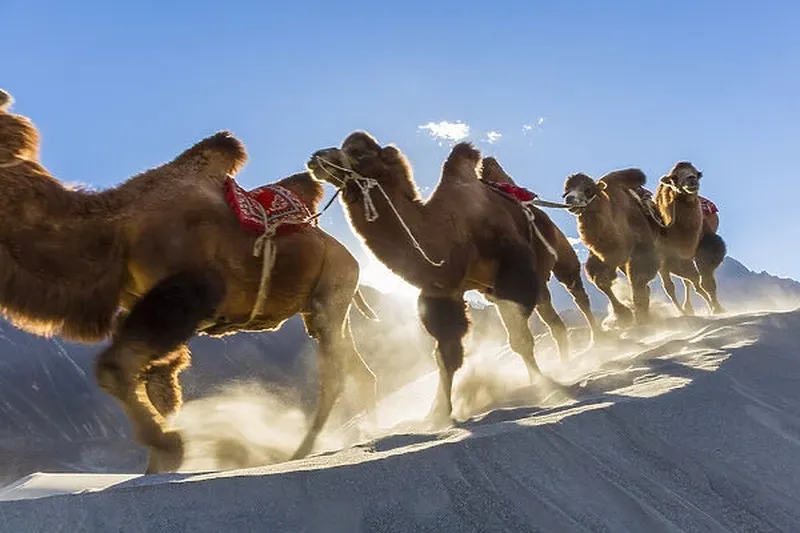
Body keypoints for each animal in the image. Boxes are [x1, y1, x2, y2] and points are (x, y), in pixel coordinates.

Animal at [0, 89, 378, 472]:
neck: (115, 231)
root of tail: (351, 258)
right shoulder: (148, 306)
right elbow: (159, 385)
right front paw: (157, 465)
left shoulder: (188, 292)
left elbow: (114, 368)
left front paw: (169, 446)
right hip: (323, 308)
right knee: (356, 367)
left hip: (329, 295)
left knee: (334, 374)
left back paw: (303, 450)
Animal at [306, 131, 556, 422]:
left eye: (357, 151)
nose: (316, 157)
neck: (447, 232)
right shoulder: (443, 292)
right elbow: (446, 353)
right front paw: (437, 414)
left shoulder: (512, 265)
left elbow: (519, 338)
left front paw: (547, 387)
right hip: (492, 289)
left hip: (536, 265)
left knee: (546, 313)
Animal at [560, 168, 660, 324]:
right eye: (567, 191)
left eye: (588, 190)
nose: (569, 199)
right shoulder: (602, 255)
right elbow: (601, 279)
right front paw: (623, 313)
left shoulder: (642, 247)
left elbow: (638, 277)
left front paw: (640, 315)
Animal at [652, 160, 728, 314]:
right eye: (674, 178)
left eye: (697, 174)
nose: (691, 179)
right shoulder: (666, 256)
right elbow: (670, 287)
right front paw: (682, 312)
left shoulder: (706, 245)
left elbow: (706, 281)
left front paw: (717, 308)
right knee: (688, 282)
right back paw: (687, 308)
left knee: (693, 281)